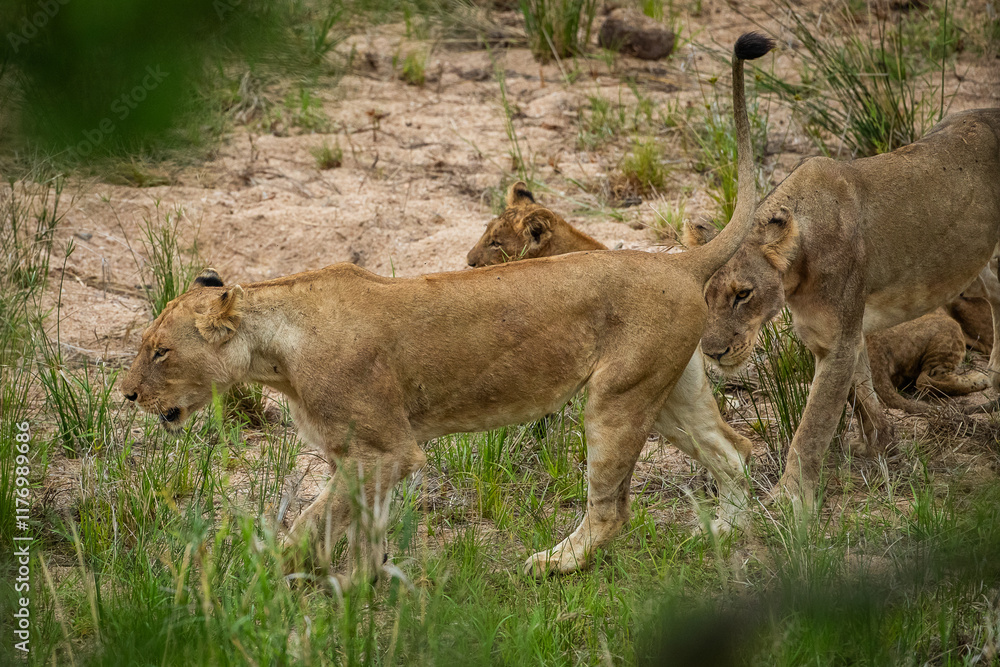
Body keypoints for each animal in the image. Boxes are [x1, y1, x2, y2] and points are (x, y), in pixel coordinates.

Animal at [120, 32, 774, 587]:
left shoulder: (386, 450)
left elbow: (318, 521)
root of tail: (677, 263)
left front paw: (310, 587)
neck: (276, 351)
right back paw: (720, 535)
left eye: (161, 351)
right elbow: (347, 524)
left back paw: (552, 564)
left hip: (617, 398)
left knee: (613, 508)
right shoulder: (359, 457)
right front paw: (351, 585)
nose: (125, 395)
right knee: (735, 451)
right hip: (667, 392)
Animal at [685, 86, 1000, 503]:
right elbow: (861, 389)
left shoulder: (838, 342)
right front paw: (880, 443)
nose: (712, 352)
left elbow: (813, 426)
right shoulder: (835, 336)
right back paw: (995, 374)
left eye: (743, 295)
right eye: (706, 296)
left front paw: (789, 500)